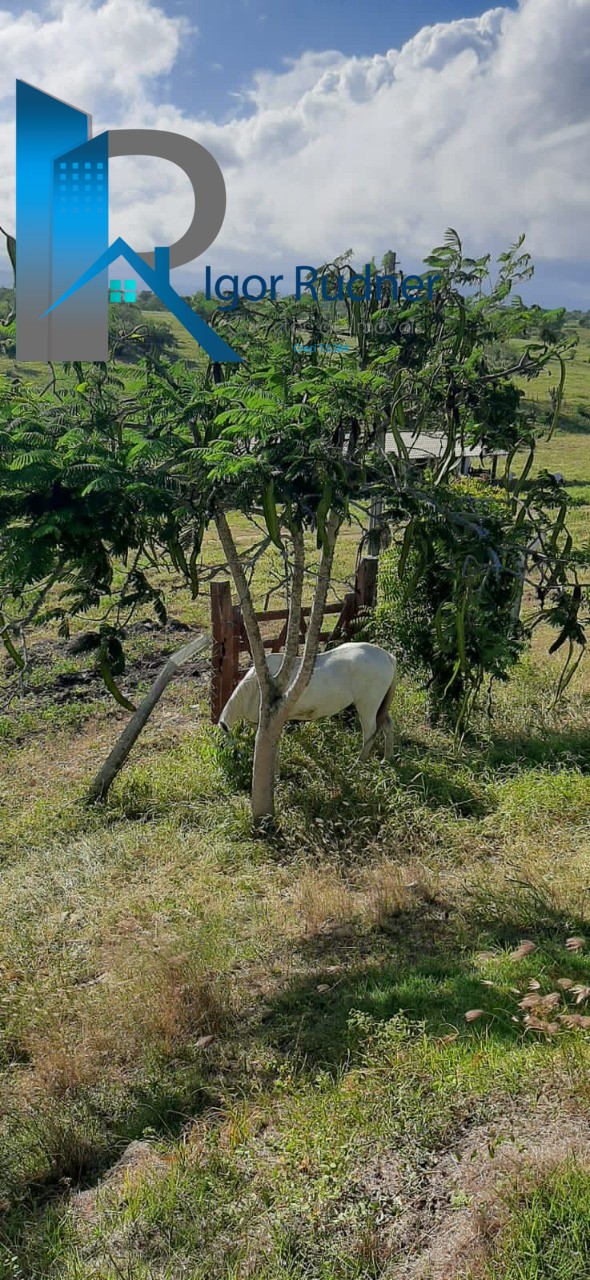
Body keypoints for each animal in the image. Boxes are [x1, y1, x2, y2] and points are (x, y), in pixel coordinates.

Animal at [217, 640, 396, 757]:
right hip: (379, 705)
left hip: (368, 705)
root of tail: (388, 656)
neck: (256, 686)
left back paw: (359, 762)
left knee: (370, 732)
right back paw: (386, 759)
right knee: (387, 725)